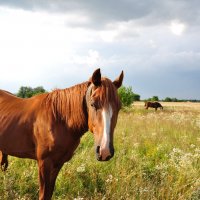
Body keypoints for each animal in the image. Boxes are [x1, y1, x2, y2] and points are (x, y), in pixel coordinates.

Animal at [0, 69, 123, 200]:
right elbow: (43, 195)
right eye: (93, 104)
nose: (105, 151)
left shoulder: (58, 163)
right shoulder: (44, 163)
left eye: (119, 107)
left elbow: (49, 193)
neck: (60, 119)